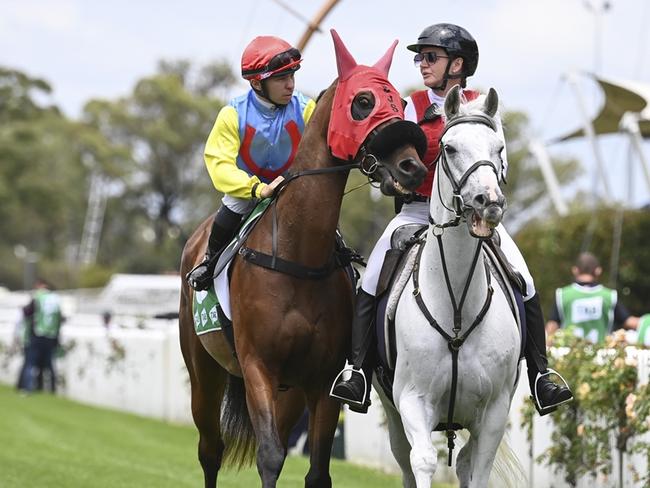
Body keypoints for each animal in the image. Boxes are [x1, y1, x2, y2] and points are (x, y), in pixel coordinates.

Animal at [180, 30, 428, 488]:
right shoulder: (258, 367)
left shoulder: (322, 379)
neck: (298, 258)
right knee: (210, 449)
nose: (412, 168)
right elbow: (270, 456)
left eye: (400, 103)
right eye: (362, 101)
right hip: (204, 373)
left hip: (289, 391)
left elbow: (317, 472)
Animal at [380, 86, 520, 486]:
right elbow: (424, 461)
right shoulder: (412, 400)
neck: (456, 304)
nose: (489, 202)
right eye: (450, 148)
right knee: (404, 458)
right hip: (392, 414)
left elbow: (478, 469)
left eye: (498, 148)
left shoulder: (494, 411)